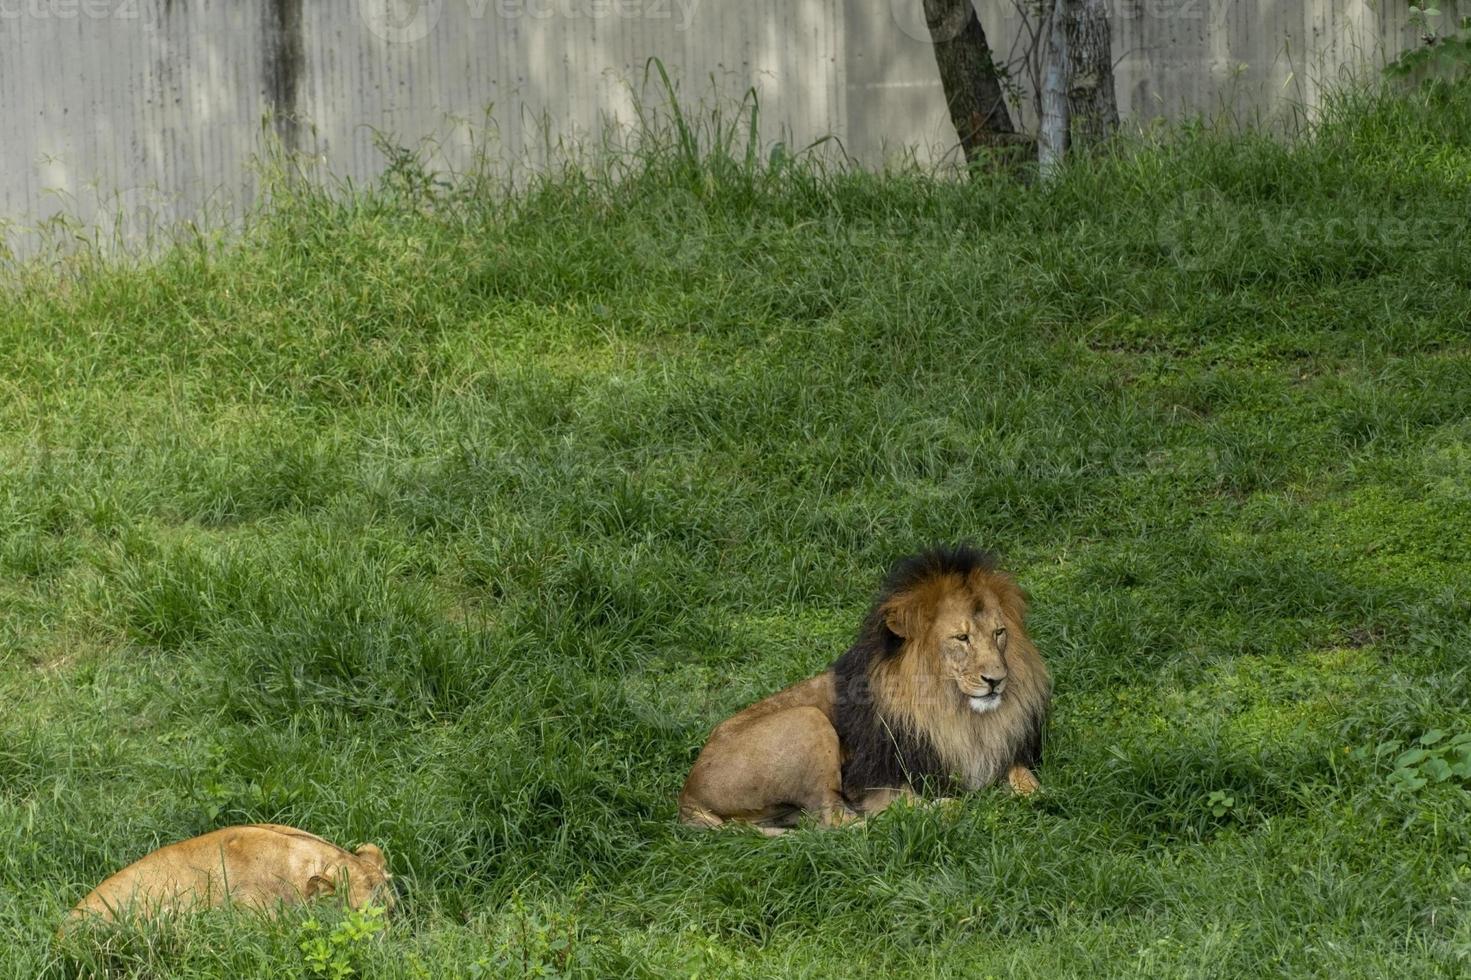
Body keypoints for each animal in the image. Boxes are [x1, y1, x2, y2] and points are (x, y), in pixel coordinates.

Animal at [682, 544, 1053, 829]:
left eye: (999, 633)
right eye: (962, 638)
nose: (997, 680)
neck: (961, 715)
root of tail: (686, 793)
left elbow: (1028, 780)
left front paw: (1040, 795)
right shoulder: (875, 780)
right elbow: (899, 800)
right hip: (807, 720)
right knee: (837, 822)